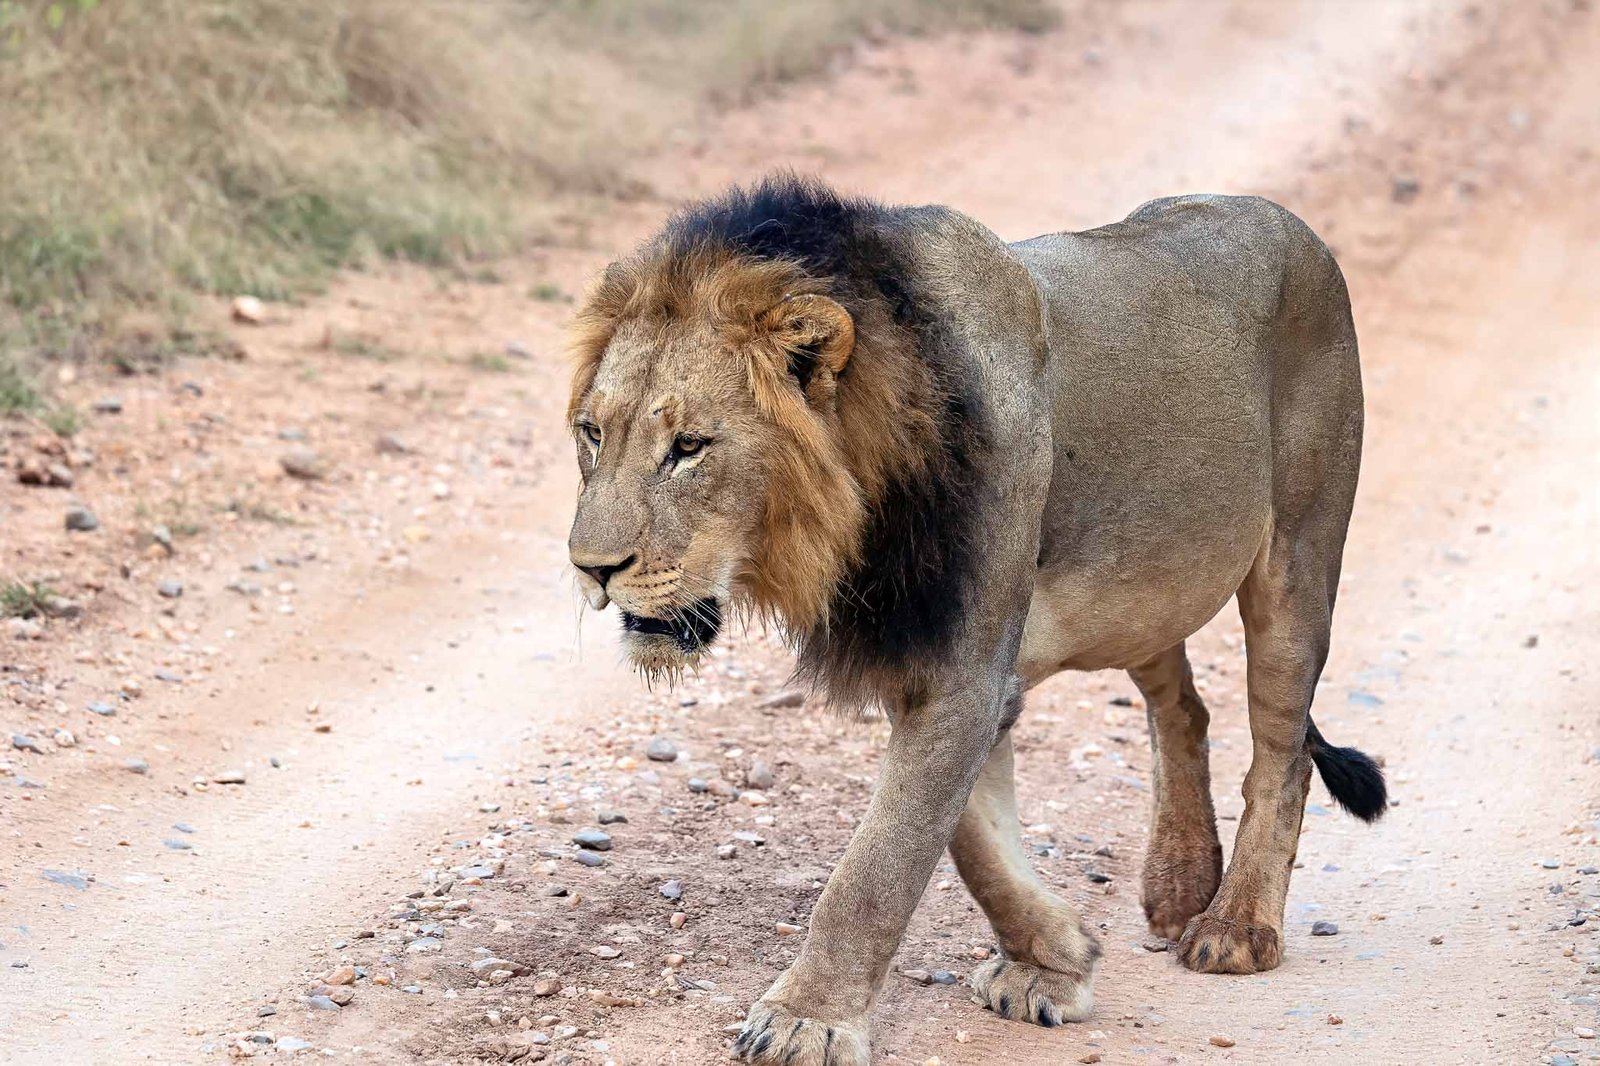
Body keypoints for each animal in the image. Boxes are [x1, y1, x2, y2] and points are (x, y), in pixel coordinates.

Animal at [565, 175, 1386, 1064]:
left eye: (689, 446)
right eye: (592, 433)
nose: (591, 568)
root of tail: (1281, 218)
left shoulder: (966, 669)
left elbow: (880, 864)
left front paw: (807, 1019)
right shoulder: (940, 663)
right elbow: (970, 838)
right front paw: (1055, 957)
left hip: (1298, 557)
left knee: (1284, 753)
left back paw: (1235, 924)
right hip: (1149, 585)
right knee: (1184, 710)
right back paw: (1177, 883)